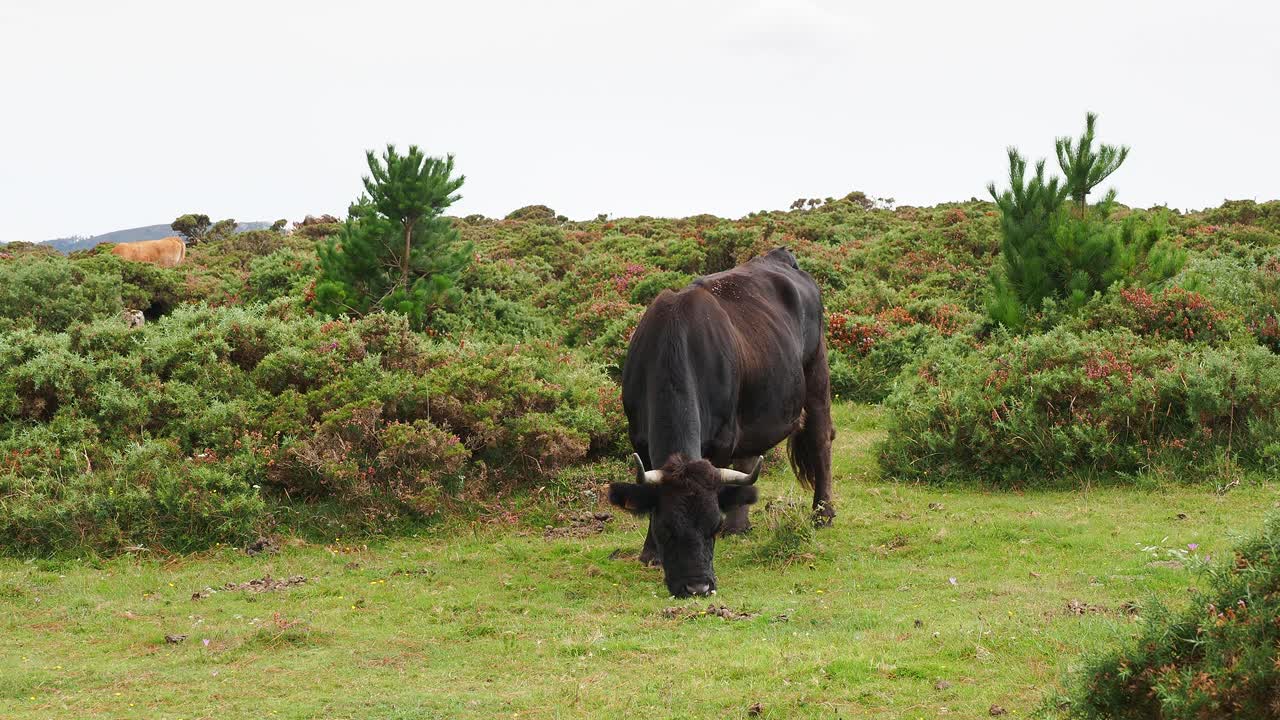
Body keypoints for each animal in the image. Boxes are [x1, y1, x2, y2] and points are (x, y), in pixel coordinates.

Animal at [606, 245, 834, 594]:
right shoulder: (639, 438)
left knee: (820, 442)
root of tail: (781, 256)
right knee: (750, 458)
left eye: (713, 526)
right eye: (666, 529)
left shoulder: (722, 439)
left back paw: (823, 514)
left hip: (816, 375)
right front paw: (649, 553)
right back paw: (741, 525)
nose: (697, 587)